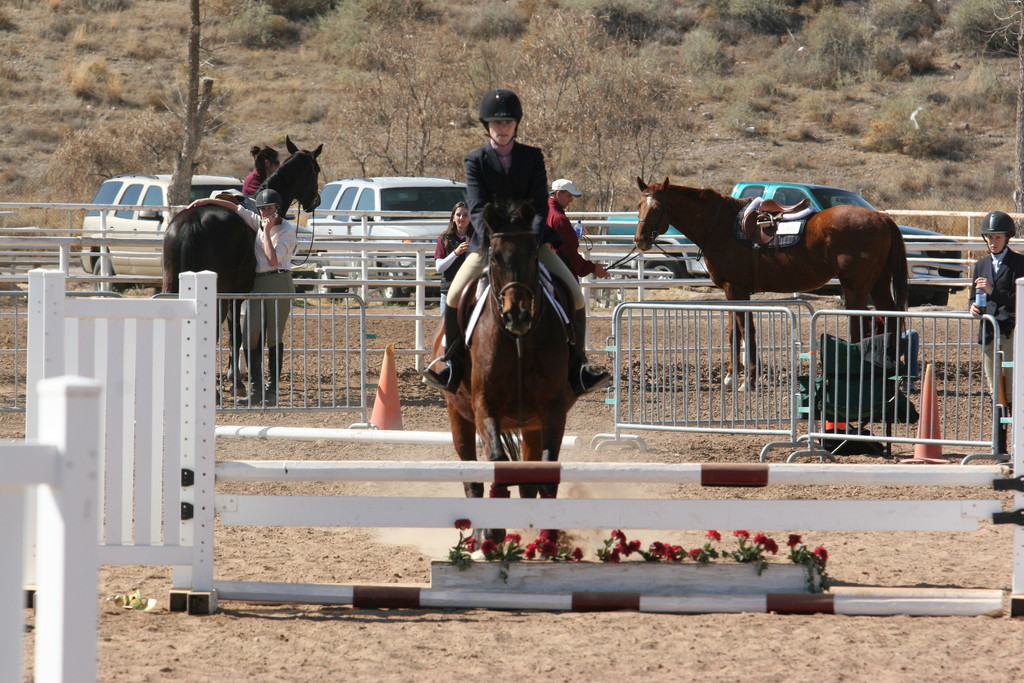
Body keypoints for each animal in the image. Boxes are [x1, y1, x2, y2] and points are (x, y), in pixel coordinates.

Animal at [432, 200, 577, 540]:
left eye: (534, 255)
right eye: (495, 257)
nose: (517, 315)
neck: (519, 341)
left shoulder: (553, 409)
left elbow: (545, 471)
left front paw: (549, 536)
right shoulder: (485, 404)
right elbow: (497, 461)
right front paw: (494, 531)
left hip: (532, 424)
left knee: (527, 480)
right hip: (458, 415)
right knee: (472, 476)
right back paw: (477, 535)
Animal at [634, 176, 909, 389]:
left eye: (658, 207)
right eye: (639, 204)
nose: (640, 239)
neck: (721, 226)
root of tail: (882, 218)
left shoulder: (736, 289)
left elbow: (746, 330)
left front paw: (748, 381)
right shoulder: (730, 290)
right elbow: (734, 332)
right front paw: (731, 378)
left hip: (856, 287)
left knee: (860, 326)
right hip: (878, 284)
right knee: (891, 318)